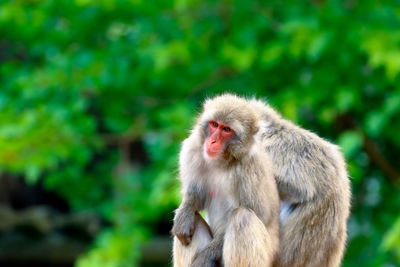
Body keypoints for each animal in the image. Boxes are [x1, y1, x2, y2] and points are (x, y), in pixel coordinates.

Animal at [171, 96, 278, 267]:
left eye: (226, 130)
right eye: (214, 124)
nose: (212, 141)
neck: (222, 161)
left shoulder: (250, 168)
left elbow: (260, 214)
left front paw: (204, 258)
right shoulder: (192, 150)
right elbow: (196, 198)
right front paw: (185, 213)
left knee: (243, 216)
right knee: (195, 219)